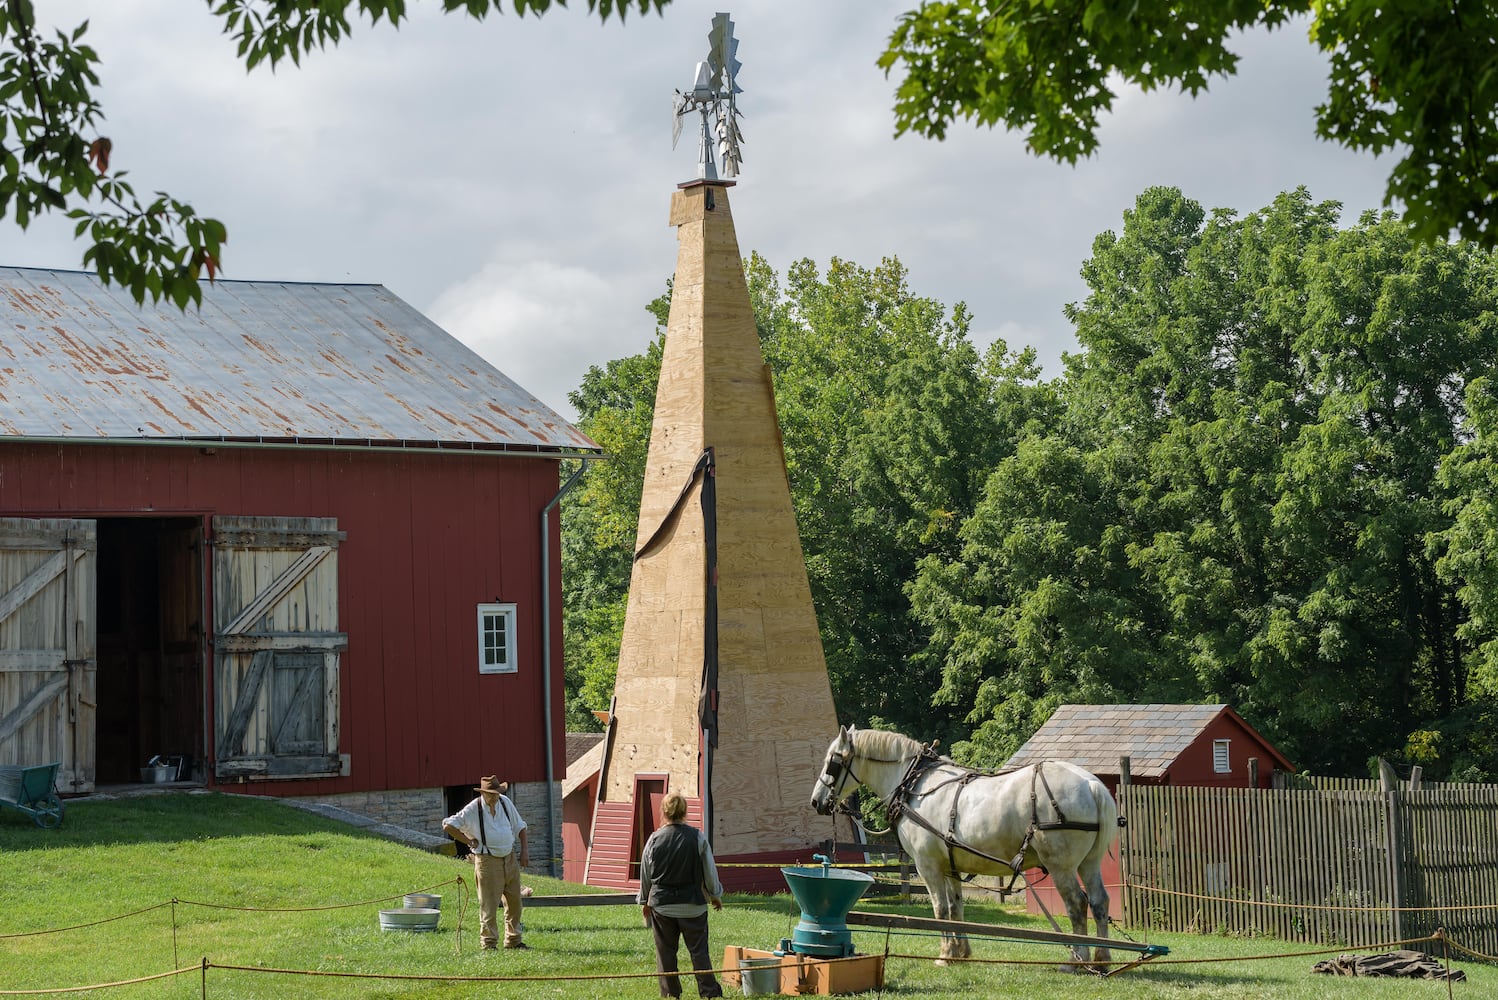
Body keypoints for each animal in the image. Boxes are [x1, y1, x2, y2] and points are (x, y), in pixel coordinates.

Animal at [814, 727, 1120, 970]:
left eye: (832, 763)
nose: (816, 801)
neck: (913, 786)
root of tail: (1092, 784)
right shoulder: (950, 867)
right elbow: (955, 909)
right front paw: (960, 953)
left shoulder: (927, 865)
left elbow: (940, 910)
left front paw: (944, 955)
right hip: (1089, 863)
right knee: (1099, 901)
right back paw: (1102, 959)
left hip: (1061, 866)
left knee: (1077, 905)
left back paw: (1076, 960)